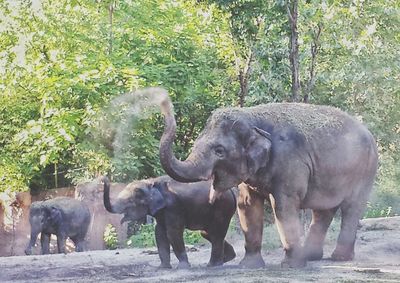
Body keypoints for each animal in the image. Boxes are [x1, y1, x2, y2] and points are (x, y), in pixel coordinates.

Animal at [101, 176, 238, 270]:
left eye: (130, 201)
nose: (104, 179)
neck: (151, 182)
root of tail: (232, 191)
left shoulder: (173, 207)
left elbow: (173, 233)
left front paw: (182, 268)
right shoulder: (161, 211)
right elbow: (159, 233)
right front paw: (162, 268)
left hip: (222, 208)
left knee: (216, 234)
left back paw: (213, 265)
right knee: (207, 234)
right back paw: (227, 258)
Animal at [158, 95, 376, 268]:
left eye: (219, 151)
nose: (164, 102)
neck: (252, 119)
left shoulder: (289, 162)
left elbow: (283, 206)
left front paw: (291, 266)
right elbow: (247, 206)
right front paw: (249, 266)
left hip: (365, 171)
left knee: (351, 207)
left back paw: (339, 258)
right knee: (324, 210)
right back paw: (312, 256)